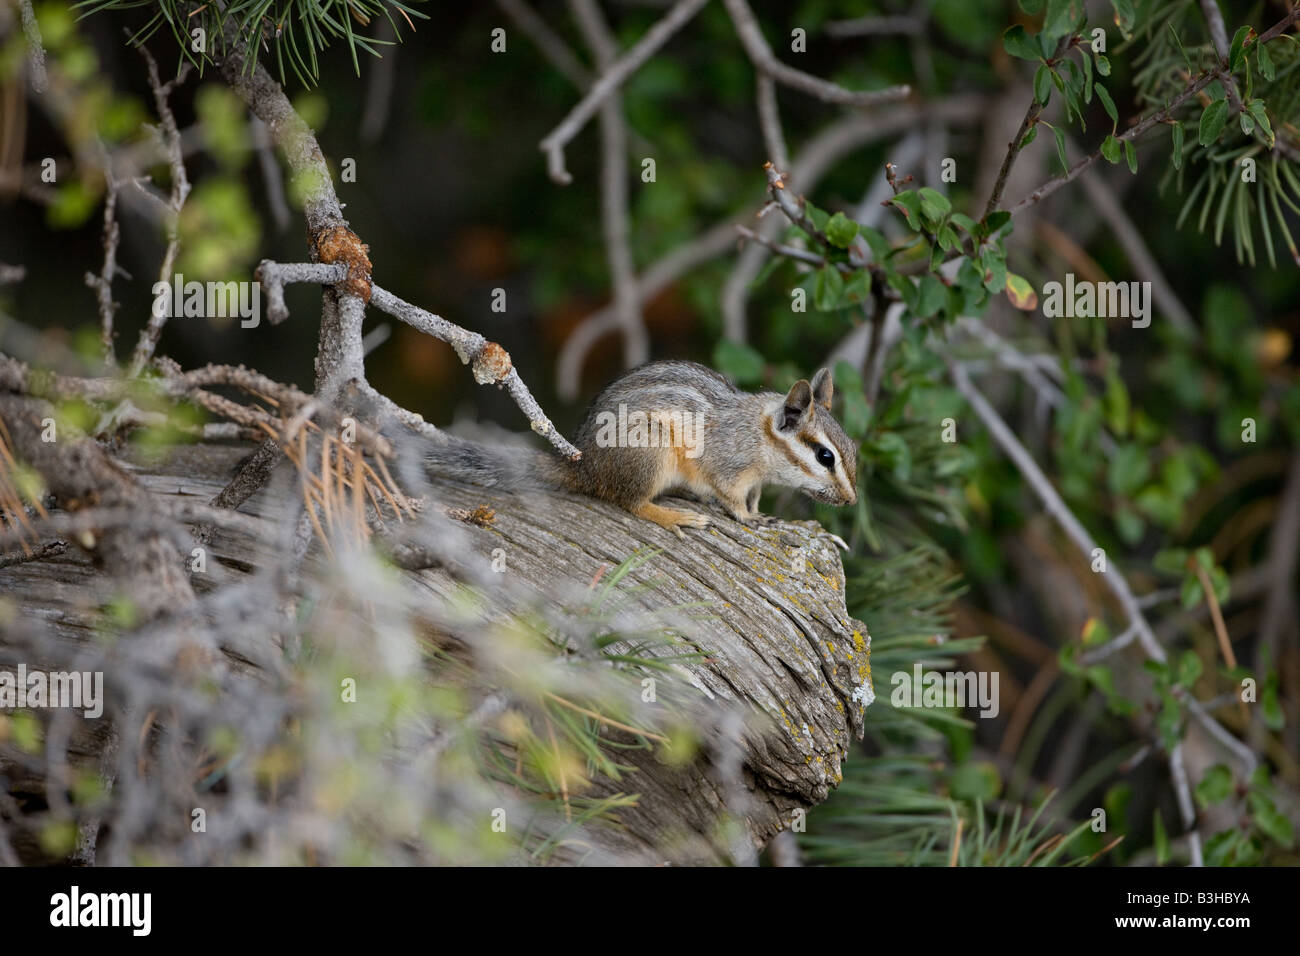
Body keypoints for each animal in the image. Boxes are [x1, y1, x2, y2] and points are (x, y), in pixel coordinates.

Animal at [425, 360, 858, 536]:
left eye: (852, 448)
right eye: (825, 456)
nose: (852, 501)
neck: (761, 436)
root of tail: (587, 467)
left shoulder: (756, 481)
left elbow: (752, 498)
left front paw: (761, 514)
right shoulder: (727, 467)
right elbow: (732, 498)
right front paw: (747, 518)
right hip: (650, 450)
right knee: (632, 503)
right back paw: (672, 515)